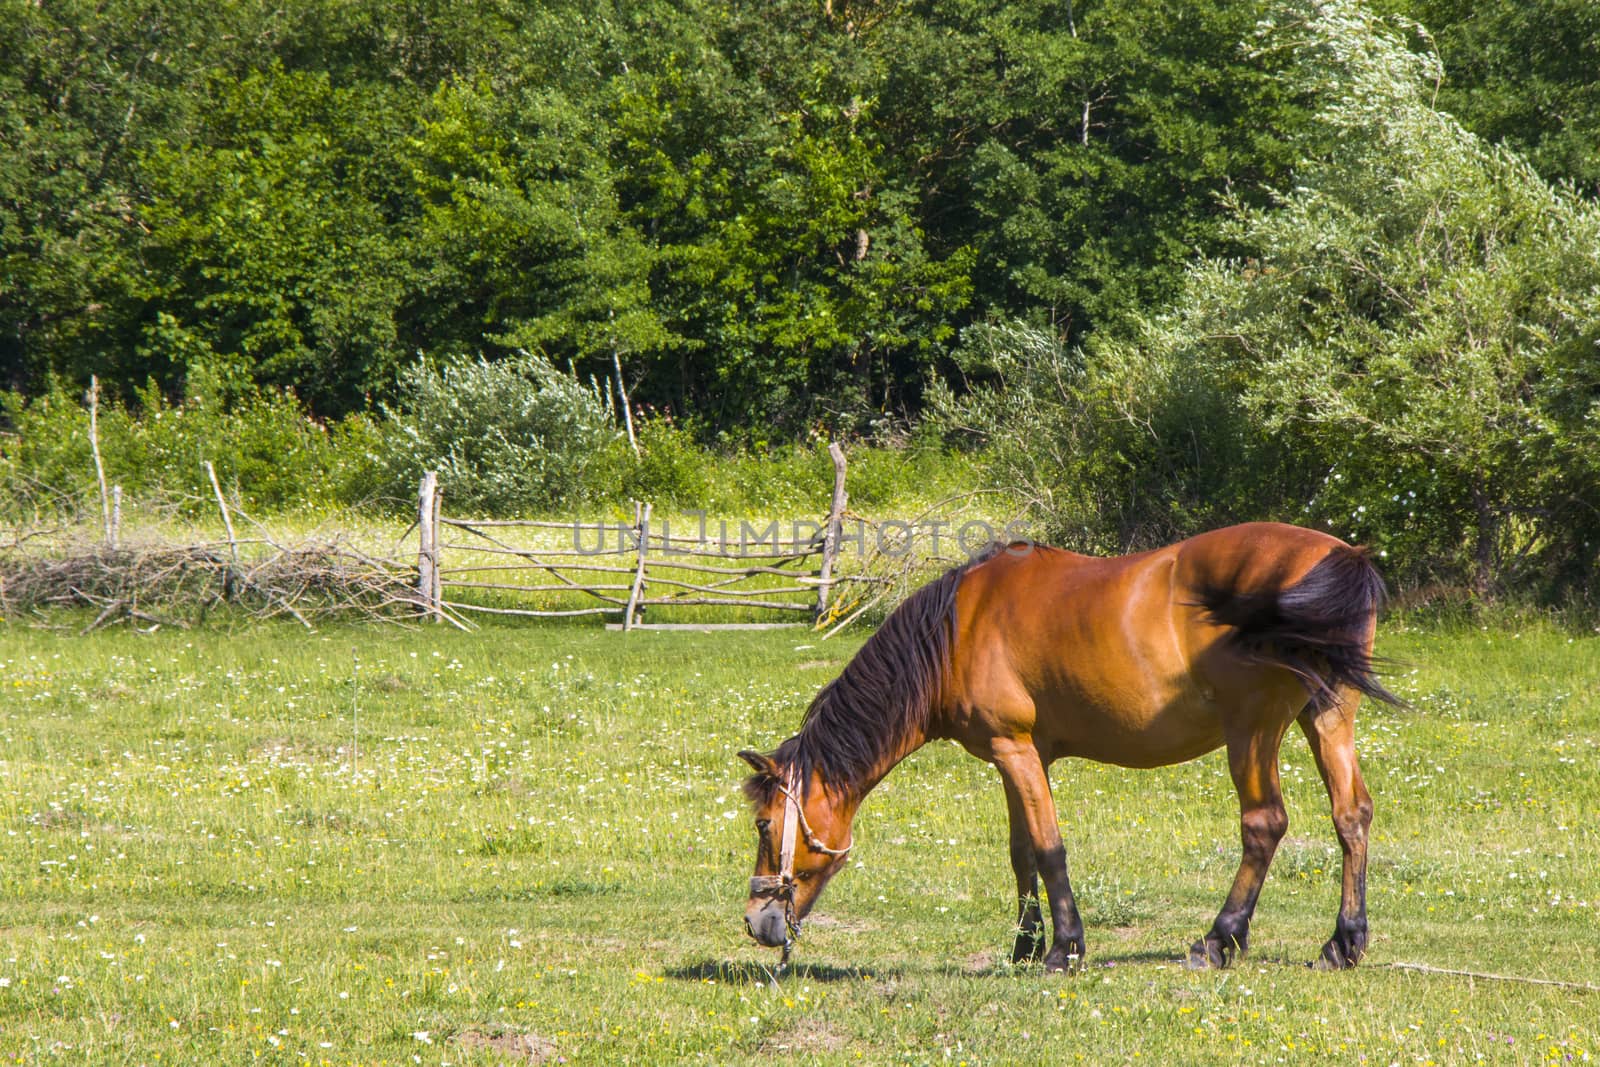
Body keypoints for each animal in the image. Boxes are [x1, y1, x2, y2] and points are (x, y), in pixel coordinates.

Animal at [742, 521, 1395, 972]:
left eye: (764, 824)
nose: (755, 921)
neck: (955, 631)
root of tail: (1337, 556)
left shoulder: (1014, 750)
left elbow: (1049, 848)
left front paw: (1063, 949)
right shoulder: (1019, 755)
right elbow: (1022, 853)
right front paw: (1024, 946)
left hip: (1252, 733)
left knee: (1264, 823)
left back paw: (1217, 939)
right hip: (1326, 718)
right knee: (1351, 816)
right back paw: (1343, 942)